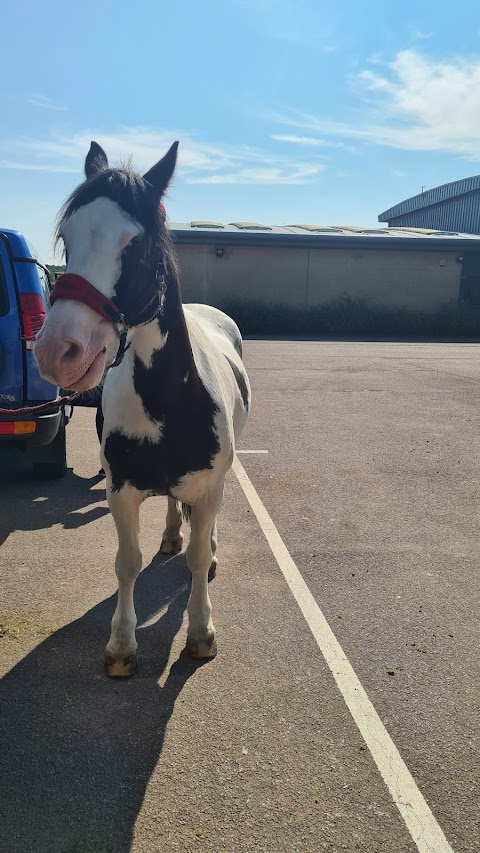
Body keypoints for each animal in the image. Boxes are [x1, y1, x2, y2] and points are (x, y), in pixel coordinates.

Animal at [33, 140, 251, 676]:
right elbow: (126, 563)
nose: (56, 351)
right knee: (173, 507)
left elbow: (198, 560)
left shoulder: (209, 487)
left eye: (135, 243)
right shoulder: (121, 491)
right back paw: (172, 533)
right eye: (66, 239)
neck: (168, 403)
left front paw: (201, 632)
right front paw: (121, 644)